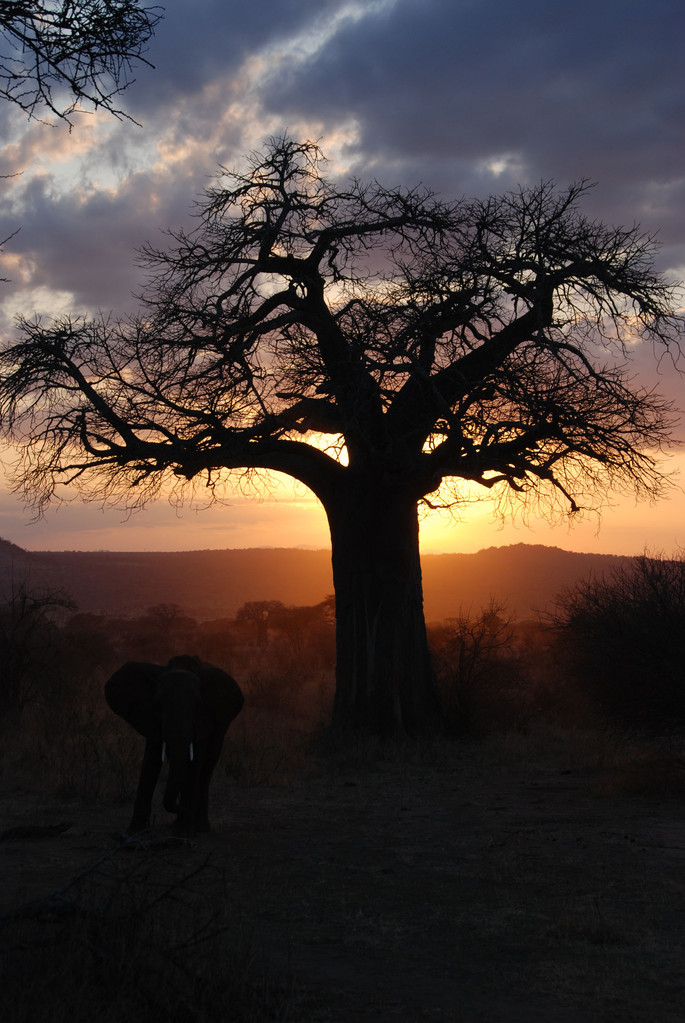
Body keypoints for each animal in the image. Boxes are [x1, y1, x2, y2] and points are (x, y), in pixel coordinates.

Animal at [105, 654, 245, 830]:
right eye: (158, 703)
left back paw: (200, 827)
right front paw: (134, 831)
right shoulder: (152, 720)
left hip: (221, 730)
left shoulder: (203, 721)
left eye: (197, 705)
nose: (183, 810)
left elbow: (194, 762)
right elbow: (150, 762)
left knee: (205, 769)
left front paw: (183, 830)